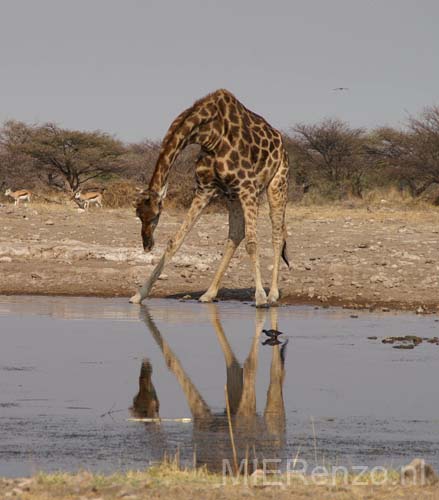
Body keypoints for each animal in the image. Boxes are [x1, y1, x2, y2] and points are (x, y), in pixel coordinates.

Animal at [132, 90, 290, 308]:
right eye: (138, 215)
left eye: (156, 215)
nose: (147, 245)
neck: (209, 135)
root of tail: (281, 142)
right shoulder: (205, 189)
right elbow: (175, 241)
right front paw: (139, 295)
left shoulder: (248, 187)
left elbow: (252, 243)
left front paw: (260, 297)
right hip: (232, 195)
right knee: (235, 235)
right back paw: (209, 293)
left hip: (277, 183)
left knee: (276, 234)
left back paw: (273, 294)